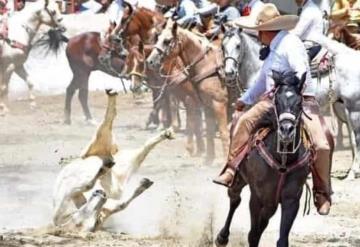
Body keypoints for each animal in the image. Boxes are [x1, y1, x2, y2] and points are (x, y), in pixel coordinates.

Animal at [52, 90, 175, 232]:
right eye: (79, 222)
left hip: (99, 147)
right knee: (139, 146)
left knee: (111, 123)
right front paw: (142, 185)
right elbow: (121, 204)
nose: (101, 194)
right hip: (119, 161)